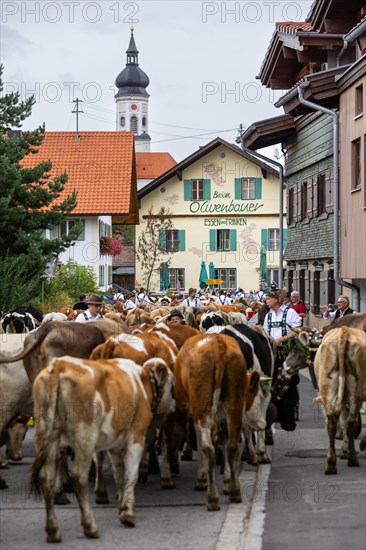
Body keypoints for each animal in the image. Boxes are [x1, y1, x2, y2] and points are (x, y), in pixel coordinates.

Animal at [30, 358, 175, 544]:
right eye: (172, 386)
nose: (174, 405)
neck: (142, 383)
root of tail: (59, 364)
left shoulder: (114, 444)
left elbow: (119, 474)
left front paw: (121, 505)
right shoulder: (136, 437)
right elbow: (131, 475)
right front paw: (128, 513)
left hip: (45, 437)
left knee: (46, 478)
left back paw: (53, 531)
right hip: (85, 437)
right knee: (79, 477)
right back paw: (90, 526)